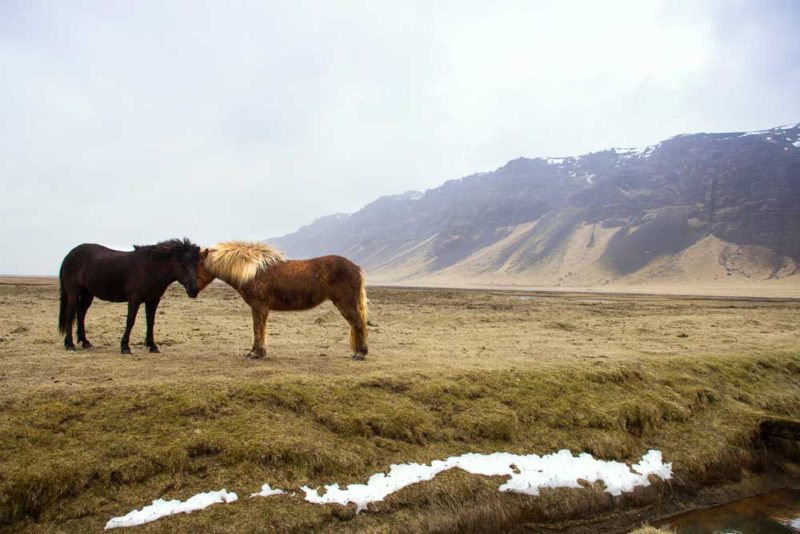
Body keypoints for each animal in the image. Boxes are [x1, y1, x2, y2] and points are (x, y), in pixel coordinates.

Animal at [58, 240, 202, 356]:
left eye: (196, 264)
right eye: (182, 264)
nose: (194, 290)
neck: (151, 268)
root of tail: (69, 256)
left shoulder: (153, 300)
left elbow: (150, 322)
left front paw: (152, 346)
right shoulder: (135, 298)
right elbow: (130, 321)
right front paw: (125, 347)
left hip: (87, 293)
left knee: (81, 314)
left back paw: (84, 342)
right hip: (73, 292)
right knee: (69, 314)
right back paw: (70, 345)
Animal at [197, 243, 368, 360]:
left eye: (197, 264)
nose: (193, 290)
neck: (252, 271)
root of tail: (356, 268)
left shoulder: (260, 306)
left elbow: (258, 328)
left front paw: (257, 353)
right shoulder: (256, 307)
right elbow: (256, 329)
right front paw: (253, 352)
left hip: (346, 303)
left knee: (358, 323)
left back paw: (360, 353)